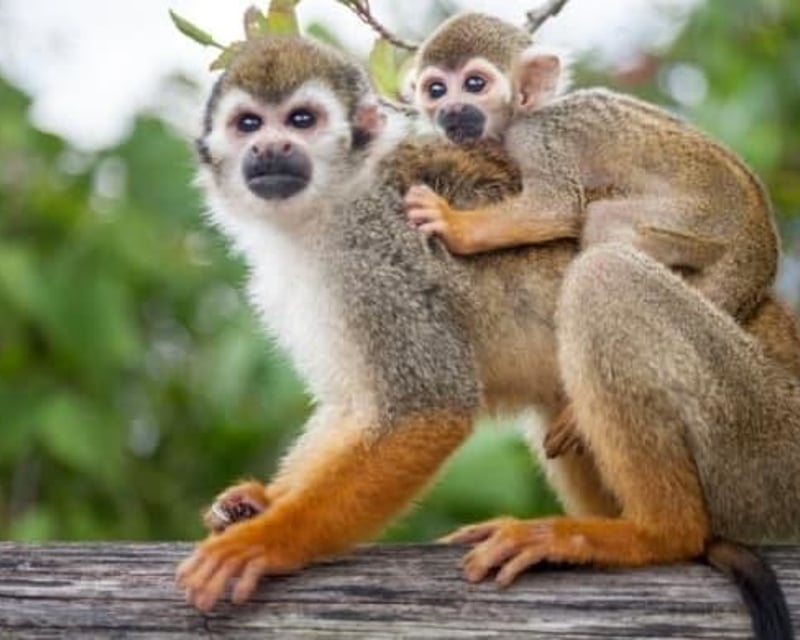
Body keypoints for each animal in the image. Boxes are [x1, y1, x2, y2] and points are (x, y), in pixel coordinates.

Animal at [175, 34, 800, 639]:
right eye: (249, 124)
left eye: (301, 120)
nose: (270, 150)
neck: (322, 210)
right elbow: (354, 407)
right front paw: (259, 503)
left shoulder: (374, 255)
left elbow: (428, 409)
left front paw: (263, 542)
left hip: (758, 446)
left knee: (603, 278)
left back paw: (654, 534)